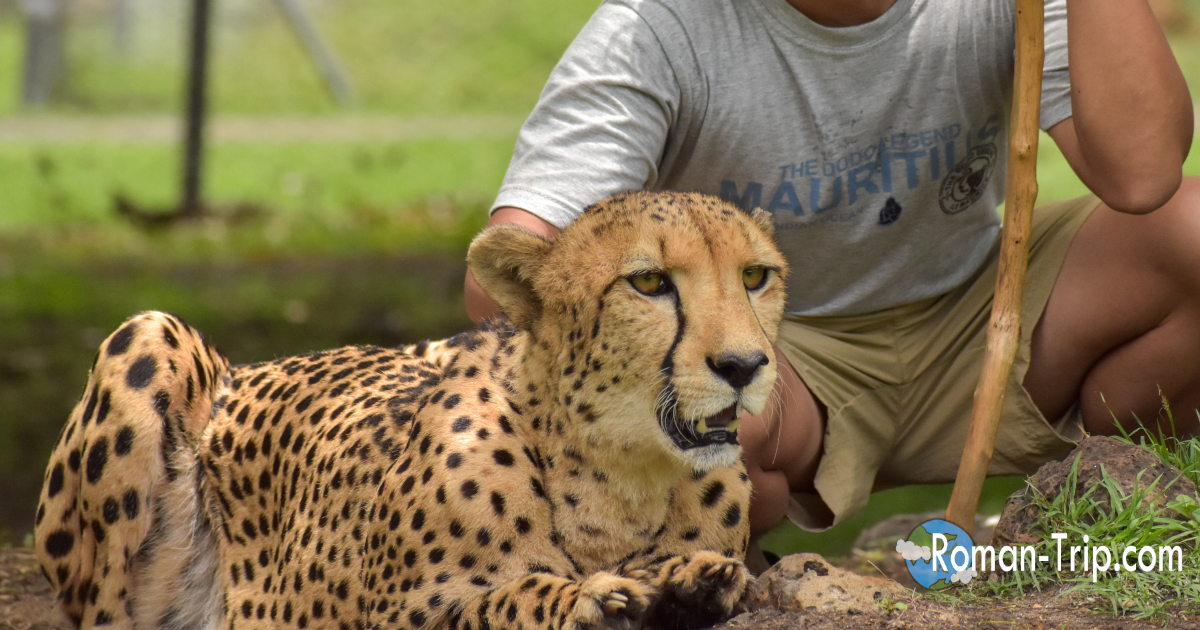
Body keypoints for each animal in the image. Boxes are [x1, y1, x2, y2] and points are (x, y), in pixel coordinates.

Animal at [34, 191, 789, 630]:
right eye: (649, 283)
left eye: (756, 276)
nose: (744, 366)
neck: (619, 474)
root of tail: (243, 367)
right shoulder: (392, 617)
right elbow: (503, 598)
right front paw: (586, 598)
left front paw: (682, 583)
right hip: (150, 334)